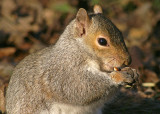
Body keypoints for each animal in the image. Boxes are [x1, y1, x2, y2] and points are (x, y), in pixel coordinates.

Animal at [5, 5, 139, 114]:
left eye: (121, 32)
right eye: (102, 41)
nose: (127, 61)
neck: (78, 50)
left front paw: (133, 72)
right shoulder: (65, 73)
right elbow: (79, 87)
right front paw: (118, 76)